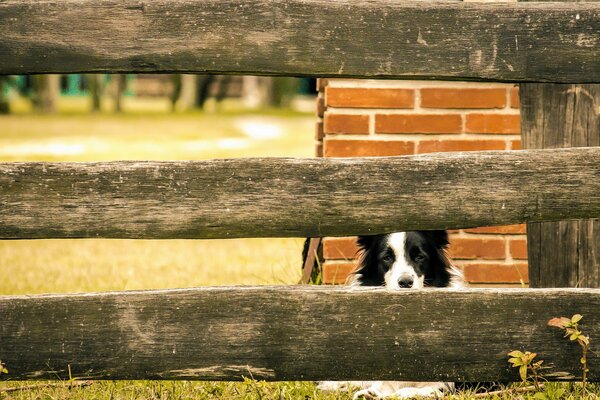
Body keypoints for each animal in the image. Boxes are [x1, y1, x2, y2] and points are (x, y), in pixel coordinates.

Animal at [318, 230, 464, 398]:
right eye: (387, 258)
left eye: (419, 257)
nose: (405, 282)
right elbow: (381, 384)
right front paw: (370, 393)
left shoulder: (446, 383)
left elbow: (419, 390)